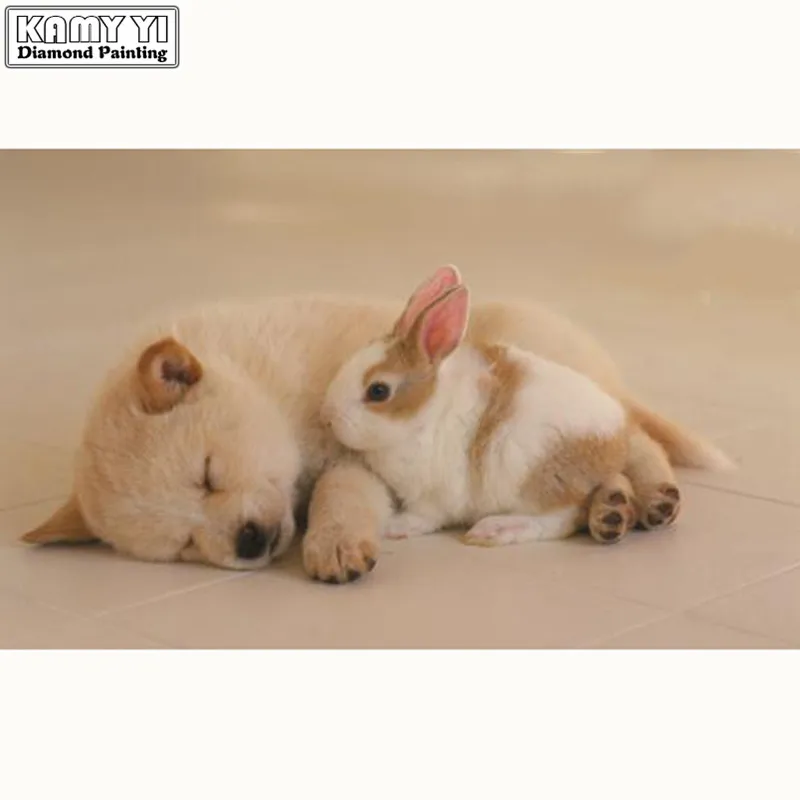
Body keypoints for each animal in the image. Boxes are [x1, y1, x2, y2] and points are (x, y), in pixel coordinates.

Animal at [322, 266, 655, 546]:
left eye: (378, 391)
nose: (329, 416)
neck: (424, 415)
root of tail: (616, 442)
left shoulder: (433, 496)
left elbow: (425, 517)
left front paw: (394, 526)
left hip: (533, 480)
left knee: (560, 519)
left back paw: (494, 530)